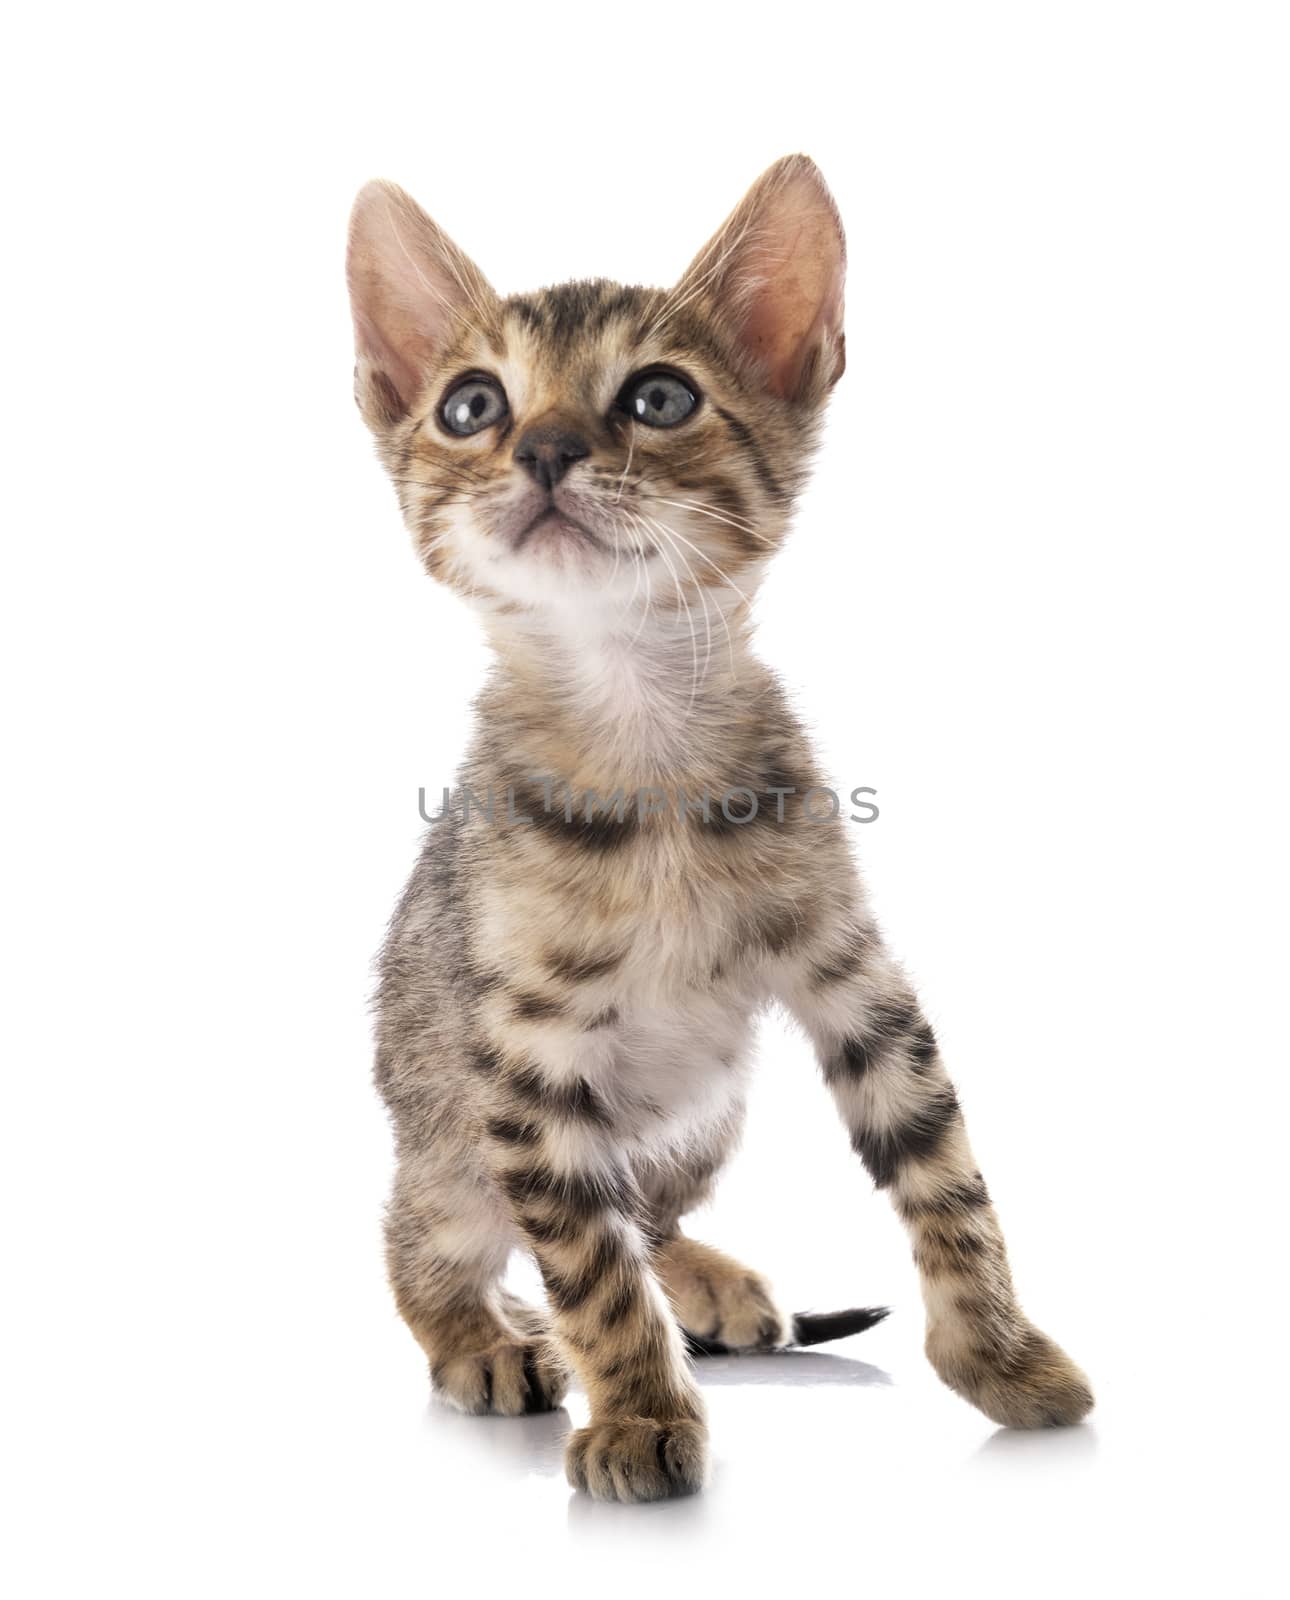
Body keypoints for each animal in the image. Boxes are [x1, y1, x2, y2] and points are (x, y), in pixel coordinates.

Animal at [348, 156, 1094, 1504]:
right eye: (472, 405)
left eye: (659, 396)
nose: (545, 447)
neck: (642, 734)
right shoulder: (527, 1058)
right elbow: (585, 1262)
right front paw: (640, 1410)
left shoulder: (856, 978)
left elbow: (945, 1169)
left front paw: (998, 1353)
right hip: (448, 1152)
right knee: (427, 1242)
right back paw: (486, 1334)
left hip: (708, 1113)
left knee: (651, 1210)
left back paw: (706, 1280)